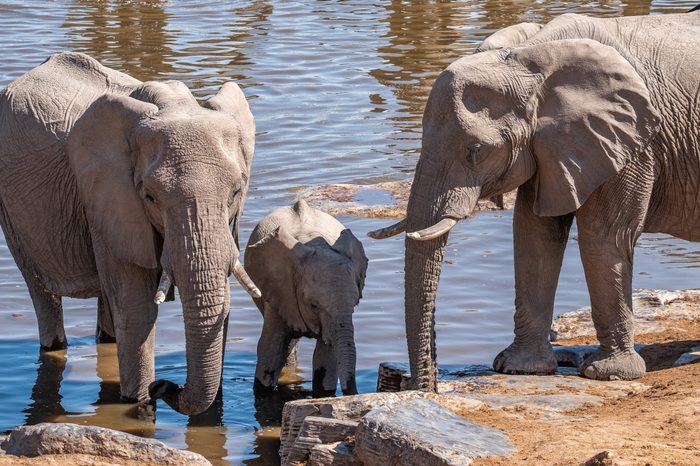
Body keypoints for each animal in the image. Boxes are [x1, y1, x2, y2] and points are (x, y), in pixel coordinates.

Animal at [0, 52, 262, 416]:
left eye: (237, 191)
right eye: (149, 196)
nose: (163, 386)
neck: (175, 102)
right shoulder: (109, 197)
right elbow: (136, 308)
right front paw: (137, 402)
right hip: (12, 213)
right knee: (41, 290)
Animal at [366, 9, 700, 390]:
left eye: (476, 151)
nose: (426, 386)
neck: (532, 55)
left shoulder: (632, 143)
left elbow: (604, 236)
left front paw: (608, 374)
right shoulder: (550, 145)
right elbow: (533, 234)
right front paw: (520, 368)